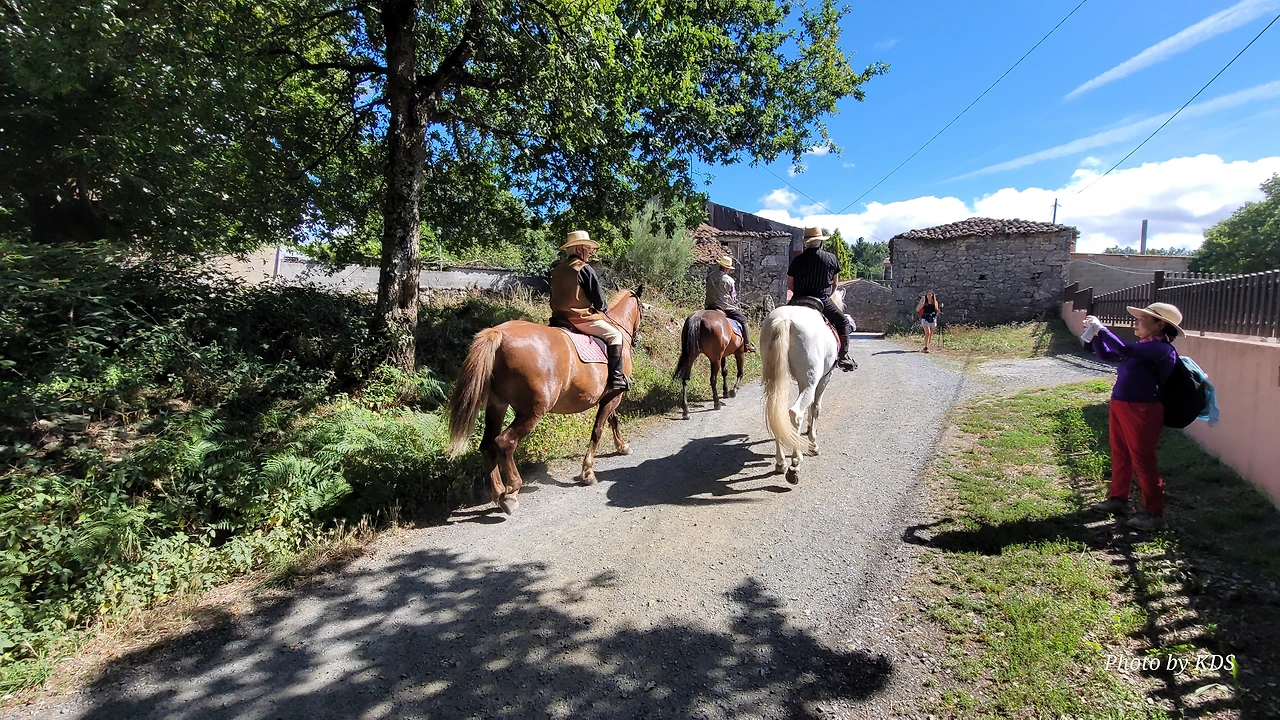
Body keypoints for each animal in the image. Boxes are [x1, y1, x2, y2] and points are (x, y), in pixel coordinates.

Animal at [447, 289, 644, 514]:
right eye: (641, 309)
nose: (637, 338)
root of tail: (499, 333)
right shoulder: (613, 397)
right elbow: (598, 431)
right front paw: (587, 473)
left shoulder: (609, 396)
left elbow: (613, 420)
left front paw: (622, 446)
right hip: (532, 412)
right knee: (505, 442)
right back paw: (511, 492)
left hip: (497, 405)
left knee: (488, 446)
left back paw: (499, 494)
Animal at [759, 288, 846, 485]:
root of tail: (785, 320)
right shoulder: (823, 379)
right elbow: (815, 408)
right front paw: (813, 443)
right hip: (809, 382)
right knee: (795, 413)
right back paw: (795, 463)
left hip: (775, 381)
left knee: (776, 410)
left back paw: (781, 462)